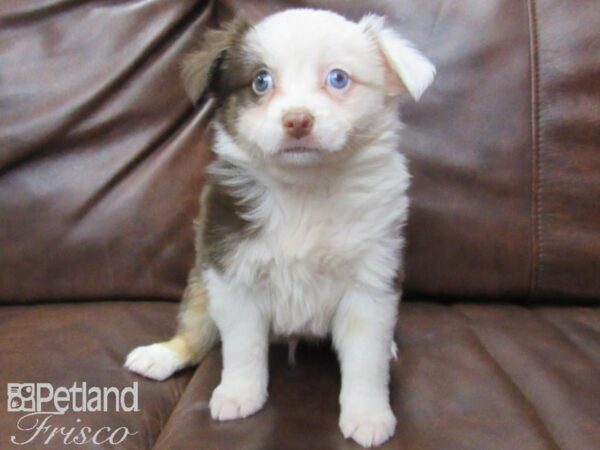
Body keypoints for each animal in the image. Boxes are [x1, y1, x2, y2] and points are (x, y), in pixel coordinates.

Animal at [126, 8, 436, 448]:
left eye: (338, 78)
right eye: (260, 81)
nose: (297, 120)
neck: (303, 188)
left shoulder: (371, 283)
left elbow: (366, 359)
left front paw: (368, 415)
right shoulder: (231, 273)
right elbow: (243, 348)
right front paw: (239, 395)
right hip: (201, 276)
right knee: (198, 324)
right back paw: (163, 354)